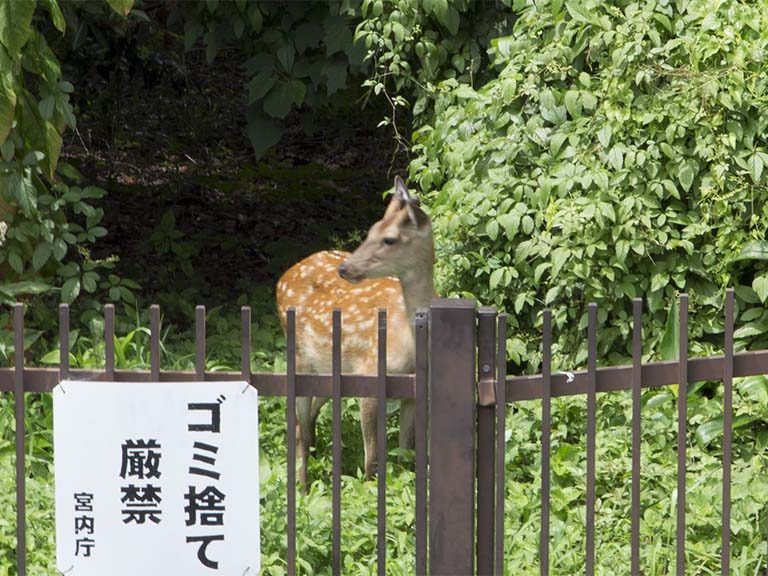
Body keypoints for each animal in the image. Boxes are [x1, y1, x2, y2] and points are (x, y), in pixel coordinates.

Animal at [276, 176, 435, 487]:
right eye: (371, 229)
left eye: (389, 238)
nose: (344, 268)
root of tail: (282, 278)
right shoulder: (369, 374)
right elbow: (371, 458)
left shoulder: (412, 391)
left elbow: (405, 451)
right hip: (298, 355)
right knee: (298, 428)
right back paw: (302, 486)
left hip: (328, 368)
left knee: (308, 421)